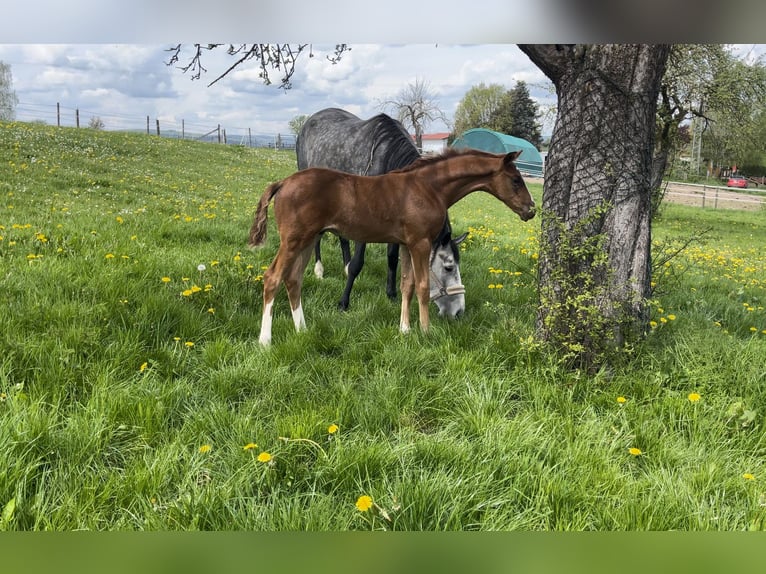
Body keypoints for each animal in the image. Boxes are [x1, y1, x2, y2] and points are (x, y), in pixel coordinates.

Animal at [249, 148, 536, 346]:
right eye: (515, 180)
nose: (531, 210)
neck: (429, 188)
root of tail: (283, 183)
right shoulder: (420, 243)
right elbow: (422, 286)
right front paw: (426, 332)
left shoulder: (407, 244)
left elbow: (406, 284)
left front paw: (405, 330)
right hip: (293, 240)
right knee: (273, 277)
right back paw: (264, 341)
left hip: (308, 241)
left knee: (293, 280)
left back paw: (303, 330)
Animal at [298, 107, 468, 320]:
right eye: (449, 267)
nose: (459, 312)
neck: (386, 158)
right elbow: (358, 263)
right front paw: (344, 302)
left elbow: (392, 258)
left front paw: (392, 294)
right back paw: (319, 270)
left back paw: (343, 268)